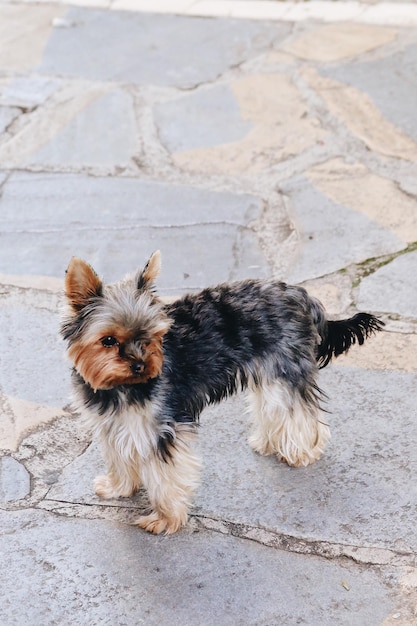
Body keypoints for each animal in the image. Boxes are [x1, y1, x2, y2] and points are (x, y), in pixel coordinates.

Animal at [61, 251, 384, 532]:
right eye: (108, 340)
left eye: (152, 336)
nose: (141, 365)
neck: (119, 388)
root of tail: (302, 295)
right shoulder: (113, 424)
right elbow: (118, 457)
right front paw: (118, 487)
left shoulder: (163, 428)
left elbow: (165, 477)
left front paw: (165, 519)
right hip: (270, 371)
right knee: (273, 406)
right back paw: (269, 442)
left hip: (286, 367)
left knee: (299, 412)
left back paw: (301, 451)